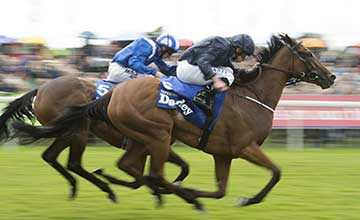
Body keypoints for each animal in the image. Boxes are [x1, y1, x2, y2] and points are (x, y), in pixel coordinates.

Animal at [0, 76, 190, 203]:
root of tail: (40, 89)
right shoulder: (153, 143)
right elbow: (145, 176)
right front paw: (164, 191)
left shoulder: (154, 144)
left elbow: (182, 167)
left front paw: (166, 189)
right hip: (78, 131)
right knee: (74, 163)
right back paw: (107, 190)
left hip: (64, 132)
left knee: (50, 156)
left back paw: (74, 186)